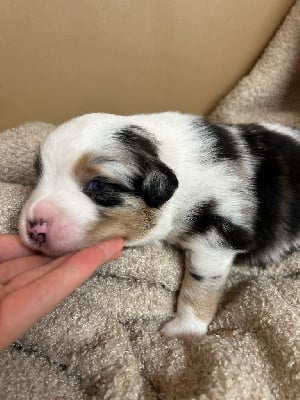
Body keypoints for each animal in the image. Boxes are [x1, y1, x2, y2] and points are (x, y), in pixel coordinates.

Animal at [18, 112, 300, 338]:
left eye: (98, 185)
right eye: (39, 175)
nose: (34, 227)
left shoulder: (216, 238)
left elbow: (197, 288)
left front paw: (182, 331)